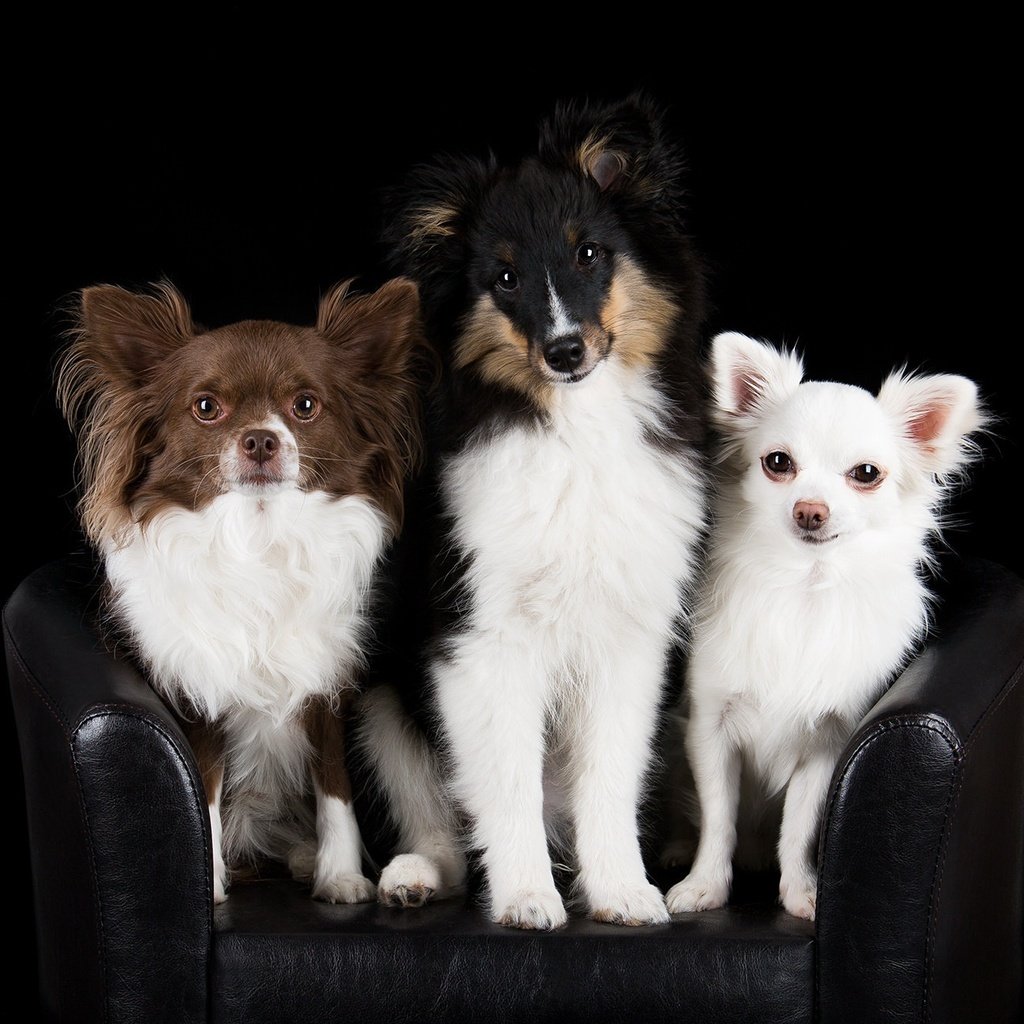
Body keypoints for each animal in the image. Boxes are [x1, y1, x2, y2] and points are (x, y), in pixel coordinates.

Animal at [57, 278, 423, 905]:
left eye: (306, 406)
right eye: (207, 408)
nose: (259, 440)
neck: (259, 536)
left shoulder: (327, 686)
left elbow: (334, 785)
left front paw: (341, 876)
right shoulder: (195, 694)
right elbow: (201, 787)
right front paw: (209, 888)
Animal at [360, 94, 712, 929]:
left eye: (589, 254)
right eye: (505, 277)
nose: (564, 352)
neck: (575, 429)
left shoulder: (629, 640)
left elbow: (608, 779)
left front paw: (623, 893)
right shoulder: (481, 639)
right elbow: (507, 781)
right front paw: (526, 898)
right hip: (382, 697)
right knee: (446, 825)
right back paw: (414, 875)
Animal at [663, 333, 983, 921]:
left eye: (866, 474)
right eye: (778, 463)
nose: (810, 510)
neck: (804, 587)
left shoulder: (828, 743)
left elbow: (799, 824)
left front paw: (801, 893)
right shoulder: (709, 729)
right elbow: (717, 818)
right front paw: (705, 886)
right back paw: (676, 848)